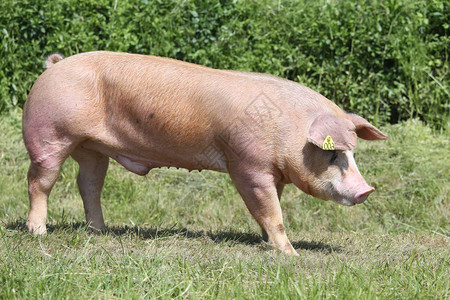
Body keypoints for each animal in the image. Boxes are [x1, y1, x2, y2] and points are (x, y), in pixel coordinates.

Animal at [22, 51, 386, 255]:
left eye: (353, 155)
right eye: (334, 155)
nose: (367, 190)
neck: (288, 132)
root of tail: (53, 66)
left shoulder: (273, 173)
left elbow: (270, 208)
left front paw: (265, 242)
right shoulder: (247, 166)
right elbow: (272, 212)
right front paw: (291, 255)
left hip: (91, 147)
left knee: (89, 184)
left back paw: (99, 231)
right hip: (49, 135)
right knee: (40, 182)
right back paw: (38, 233)